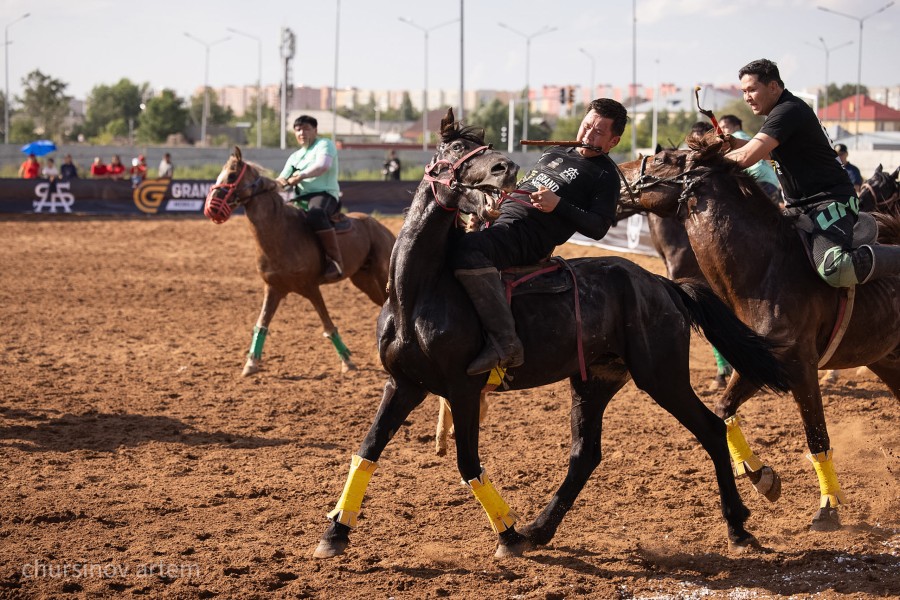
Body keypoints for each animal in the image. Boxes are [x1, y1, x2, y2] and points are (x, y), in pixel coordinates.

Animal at [208, 146, 398, 376]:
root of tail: (381, 228)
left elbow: (328, 325)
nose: (211, 208)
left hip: (381, 276)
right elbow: (261, 323)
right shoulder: (273, 289)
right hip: (364, 280)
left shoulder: (311, 288)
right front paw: (251, 363)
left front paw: (347, 362)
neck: (281, 232)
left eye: (232, 175)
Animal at [314, 110, 788, 560]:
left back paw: (738, 526)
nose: (505, 167)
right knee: (585, 455)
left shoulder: (463, 390)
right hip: (595, 380)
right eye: (454, 148)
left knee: (710, 430)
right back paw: (540, 528)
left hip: (662, 376)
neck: (420, 292)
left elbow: (468, 465)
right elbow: (367, 450)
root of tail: (660, 284)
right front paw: (335, 532)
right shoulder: (403, 384)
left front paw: (506, 535)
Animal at [620, 139, 900, 528]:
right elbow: (724, 409)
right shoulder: (759, 361)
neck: (768, 271)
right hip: (887, 359)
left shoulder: (801, 367)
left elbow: (817, 437)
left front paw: (828, 506)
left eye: (662, 158)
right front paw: (761, 475)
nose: (615, 170)